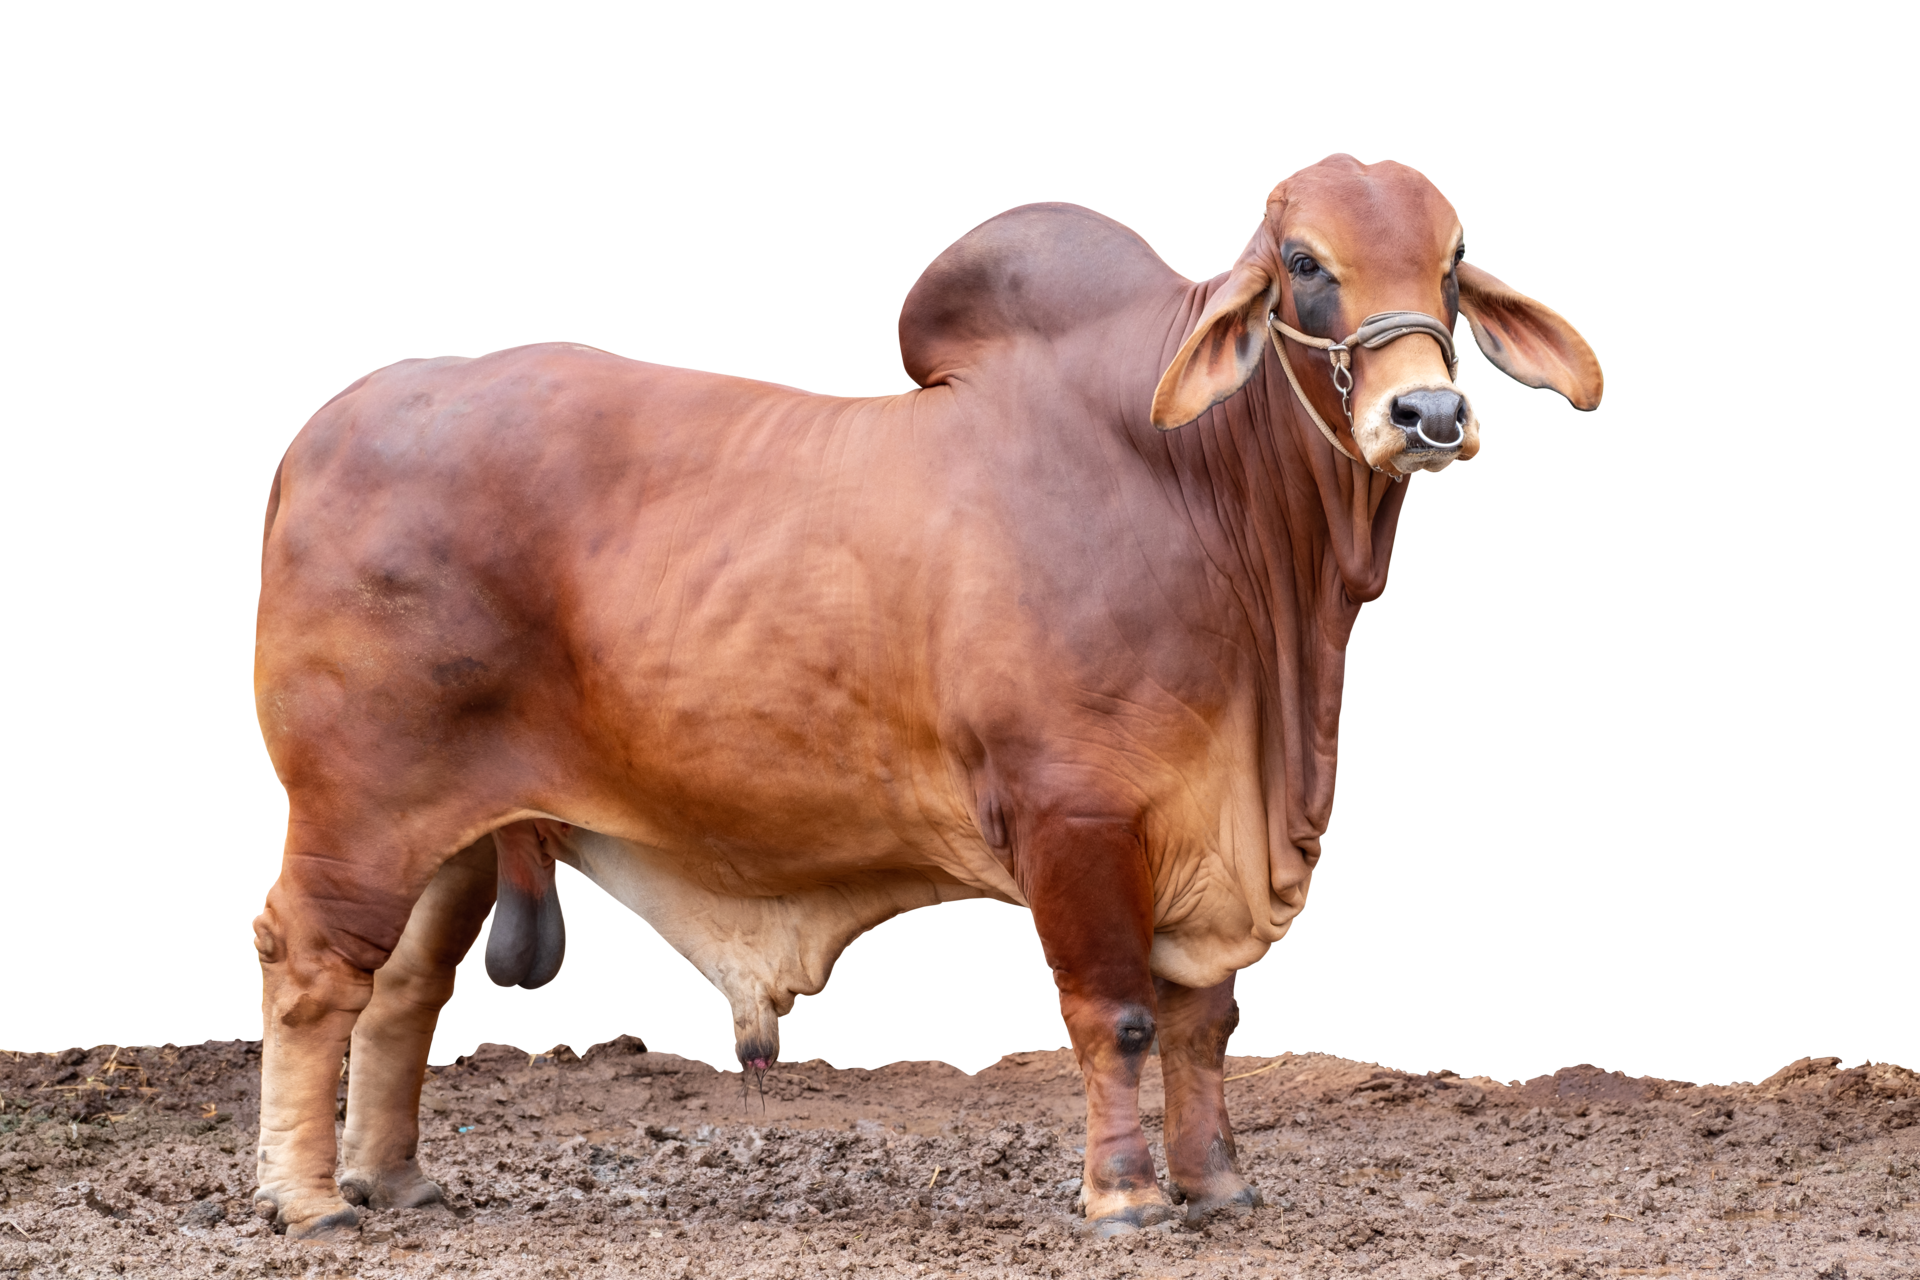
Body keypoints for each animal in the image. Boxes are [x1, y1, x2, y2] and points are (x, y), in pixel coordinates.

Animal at [249, 156, 1602, 1239]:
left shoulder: (1211, 836)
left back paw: (393, 1178)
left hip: (453, 835)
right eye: (1307, 264)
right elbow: (1119, 1015)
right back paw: (309, 1200)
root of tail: (332, 425)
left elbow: (1205, 1021)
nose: (1428, 411)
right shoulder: (1075, 817)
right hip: (357, 808)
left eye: (1451, 264)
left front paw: (1216, 1183)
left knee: (404, 988)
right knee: (309, 965)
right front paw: (1125, 1197)